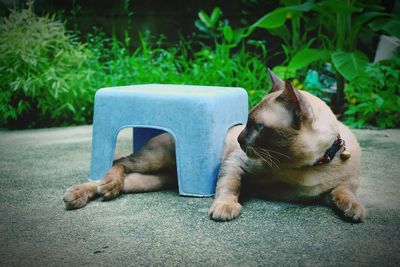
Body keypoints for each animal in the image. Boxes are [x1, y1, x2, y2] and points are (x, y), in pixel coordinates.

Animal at [64, 69, 368, 224]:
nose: (239, 139)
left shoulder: (329, 192)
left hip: (152, 180)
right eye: (246, 123)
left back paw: (95, 193)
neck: (305, 166)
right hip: (154, 160)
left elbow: (343, 193)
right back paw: (83, 194)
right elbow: (228, 188)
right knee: (118, 164)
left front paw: (354, 211)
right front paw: (225, 209)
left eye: (257, 127)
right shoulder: (237, 164)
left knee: (120, 178)